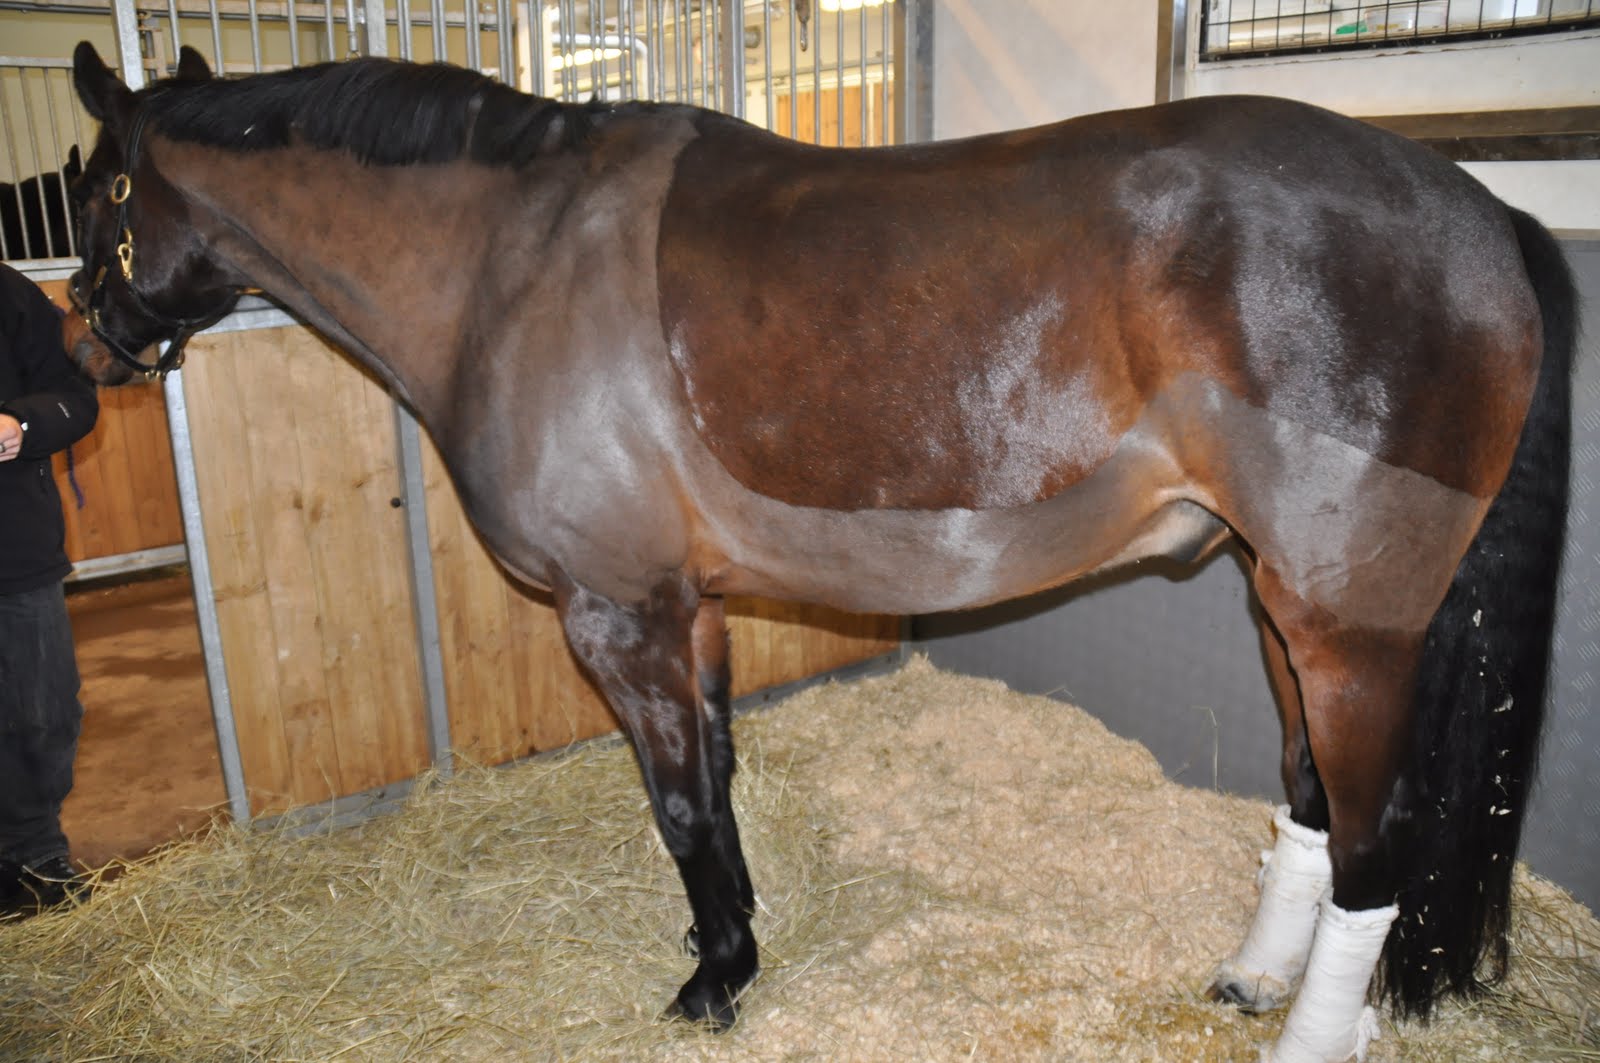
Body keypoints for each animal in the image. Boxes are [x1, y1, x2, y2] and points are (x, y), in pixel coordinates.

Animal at [65, 41, 1573, 1063]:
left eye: (98, 192)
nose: (95, 338)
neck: (512, 258)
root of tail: (1477, 208)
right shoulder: (688, 610)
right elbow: (717, 783)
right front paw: (726, 939)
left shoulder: (619, 614)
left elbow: (680, 804)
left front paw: (712, 980)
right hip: (1280, 605)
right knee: (1310, 809)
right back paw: (1251, 975)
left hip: (1347, 627)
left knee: (1375, 852)